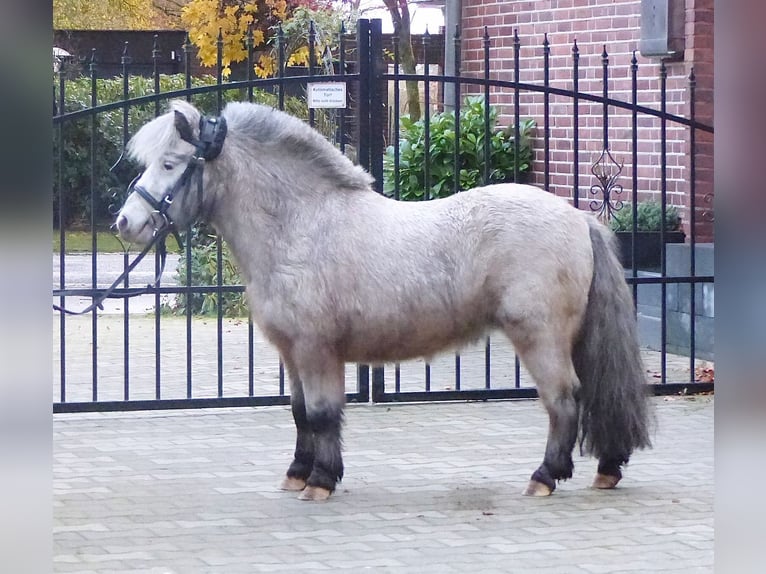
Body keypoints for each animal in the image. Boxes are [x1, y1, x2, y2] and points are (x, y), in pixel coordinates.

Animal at [115, 100, 656, 504]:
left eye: (169, 164)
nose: (125, 223)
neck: (301, 224)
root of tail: (577, 218)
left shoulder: (317, 351)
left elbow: (323, 414)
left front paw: (320, 482)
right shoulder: (292, 353)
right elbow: (300, 414)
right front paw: (298, 473)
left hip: (540, 338)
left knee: (564, 400)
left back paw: (544, 477)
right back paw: (607, 468)